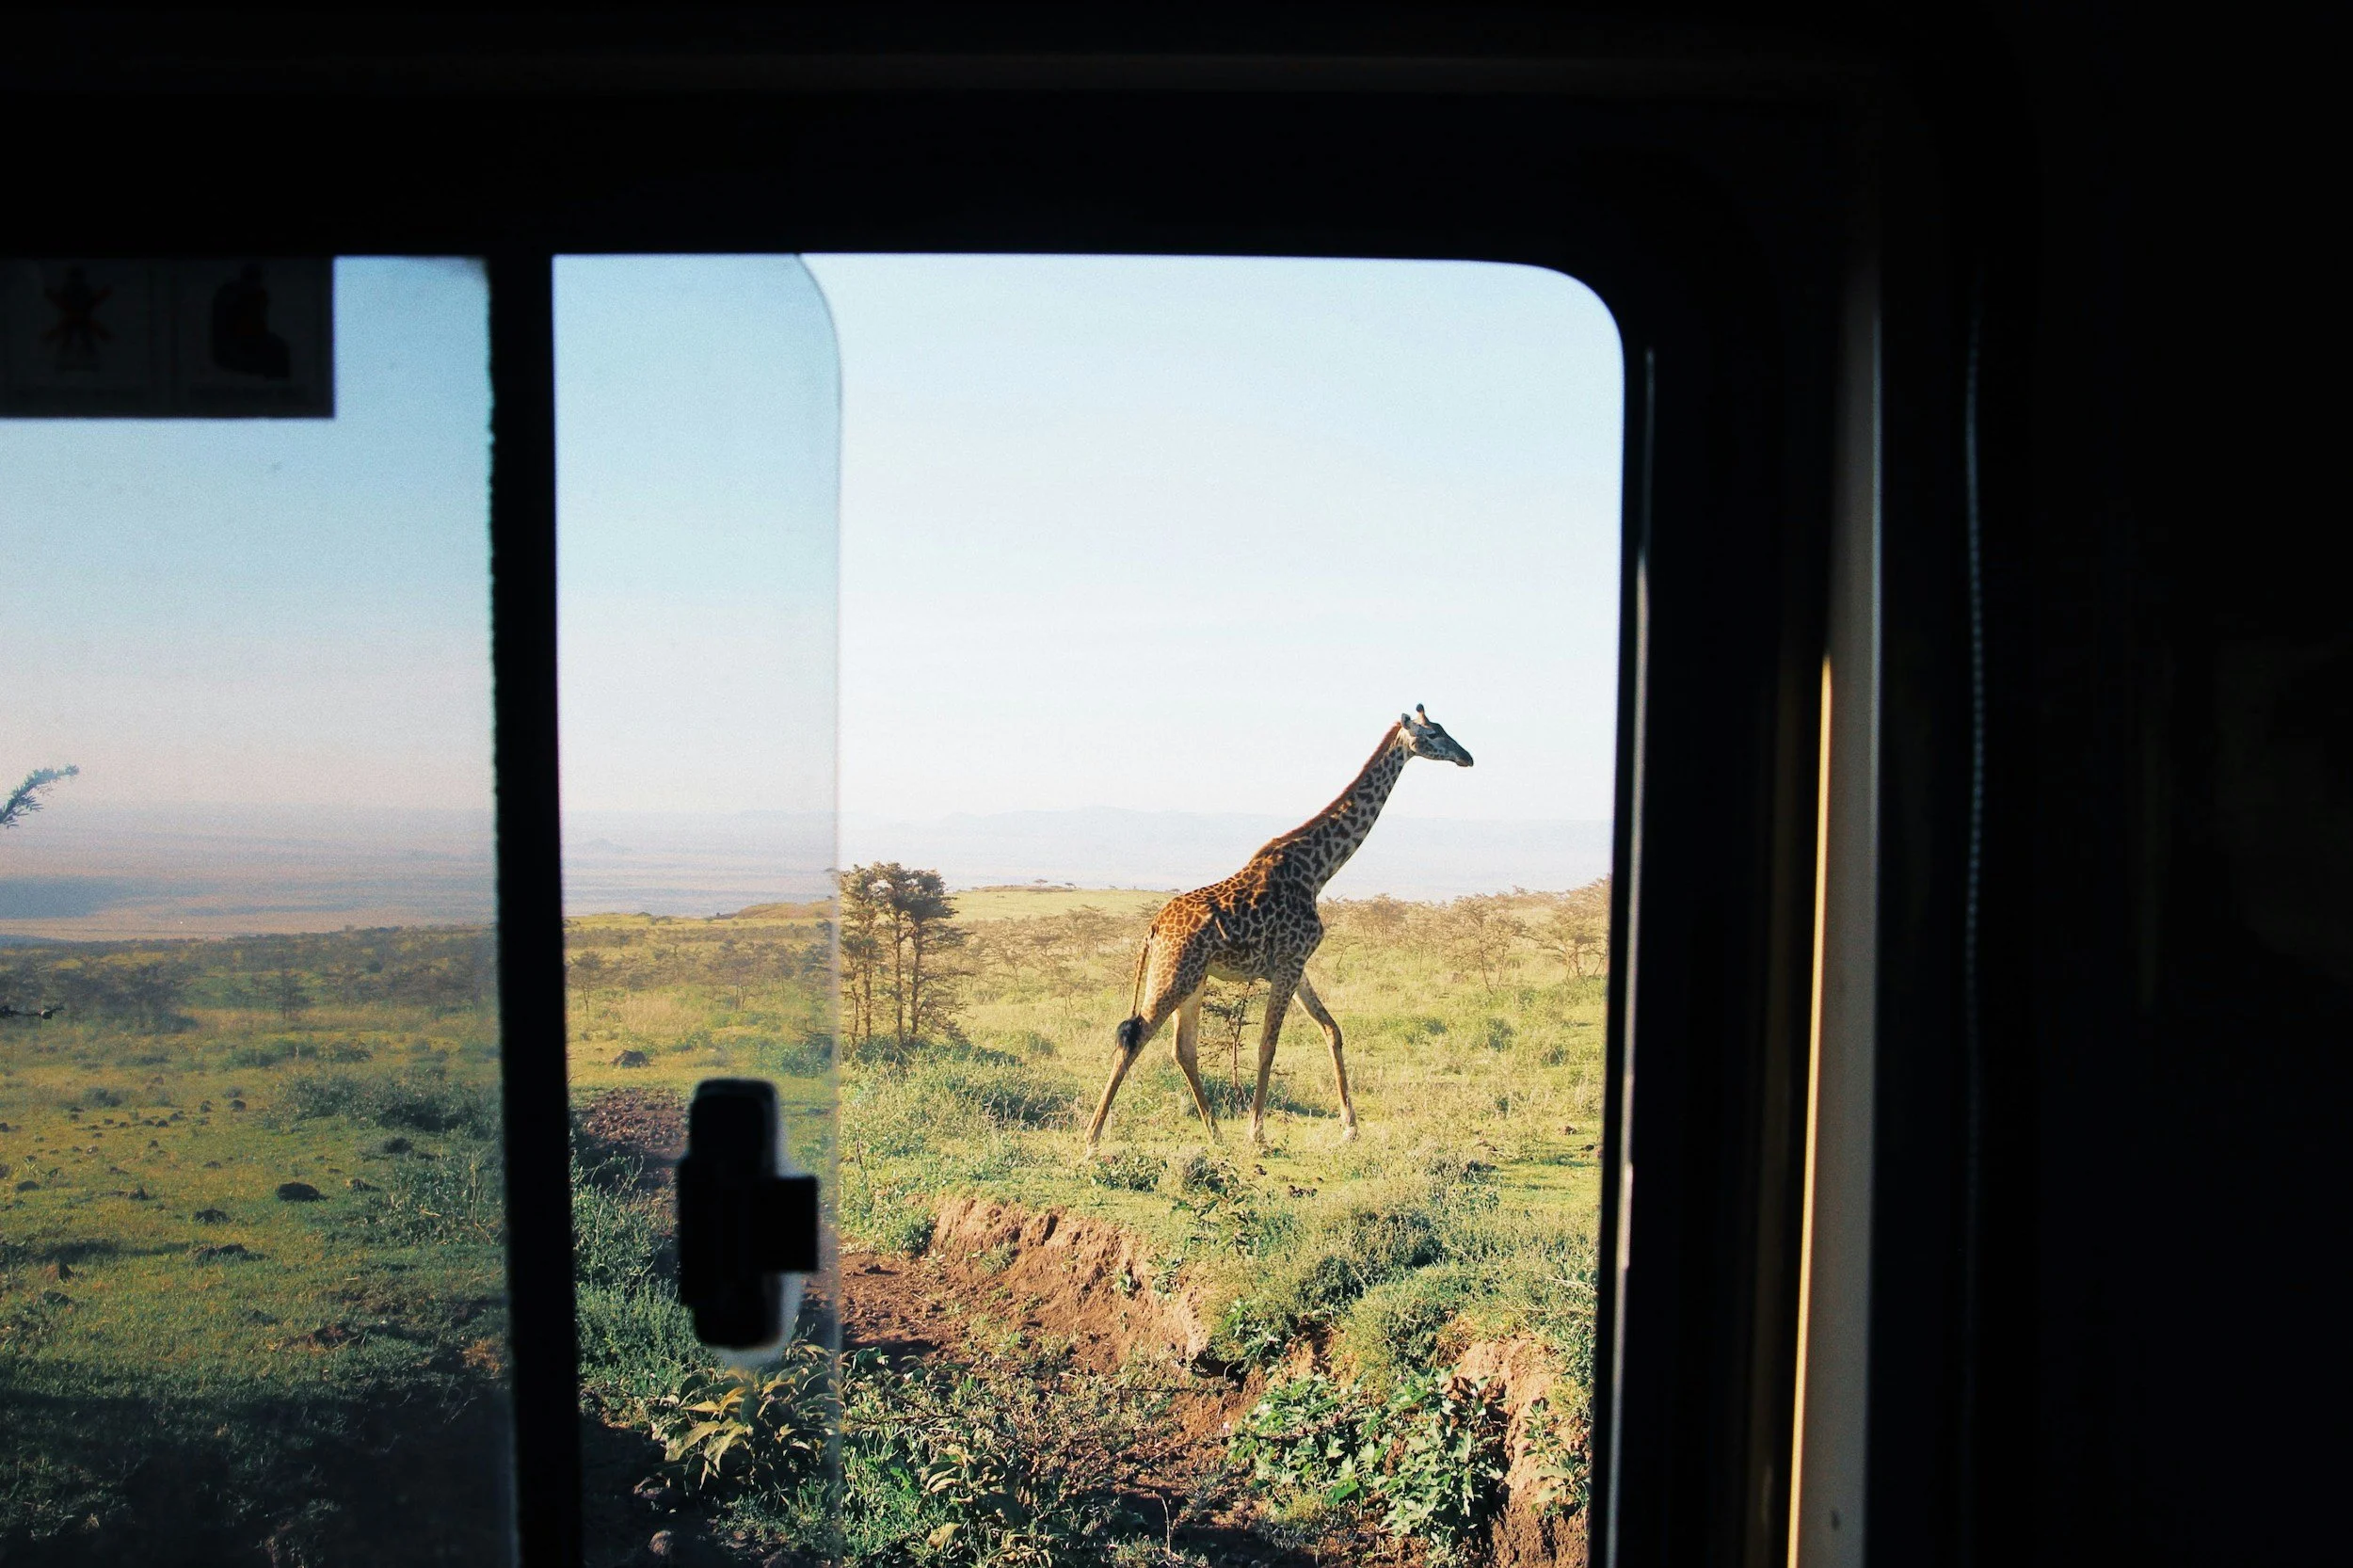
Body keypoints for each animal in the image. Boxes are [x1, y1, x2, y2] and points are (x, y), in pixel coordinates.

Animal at [1084, 706, 1475, 1154]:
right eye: (1433, 733)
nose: (1467, 757)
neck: (1317, 870)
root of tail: (1154, 927)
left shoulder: (1296, 965)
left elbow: (1332, 1030)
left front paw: (1350, 1127)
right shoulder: (1289, 963)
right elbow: (1267, 1045)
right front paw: (1257, 1131)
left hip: (1194, 979)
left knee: (1182, 1049)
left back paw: (1215, 1132)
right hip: (1174, 974)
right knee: (1135, 1037)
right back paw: (1093, 1138)